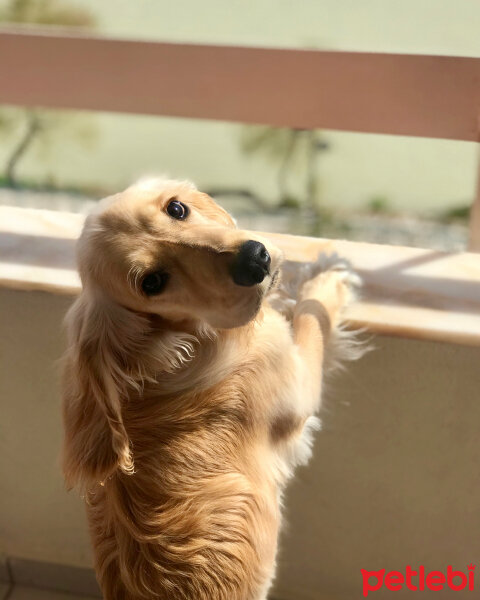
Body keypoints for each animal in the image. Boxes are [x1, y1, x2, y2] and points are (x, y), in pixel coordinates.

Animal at [61, 176, 360, 596]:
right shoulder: (296, 380)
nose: (255, 260)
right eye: (152, 282)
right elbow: (312, 318)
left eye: (177, 209)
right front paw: (329, 273)